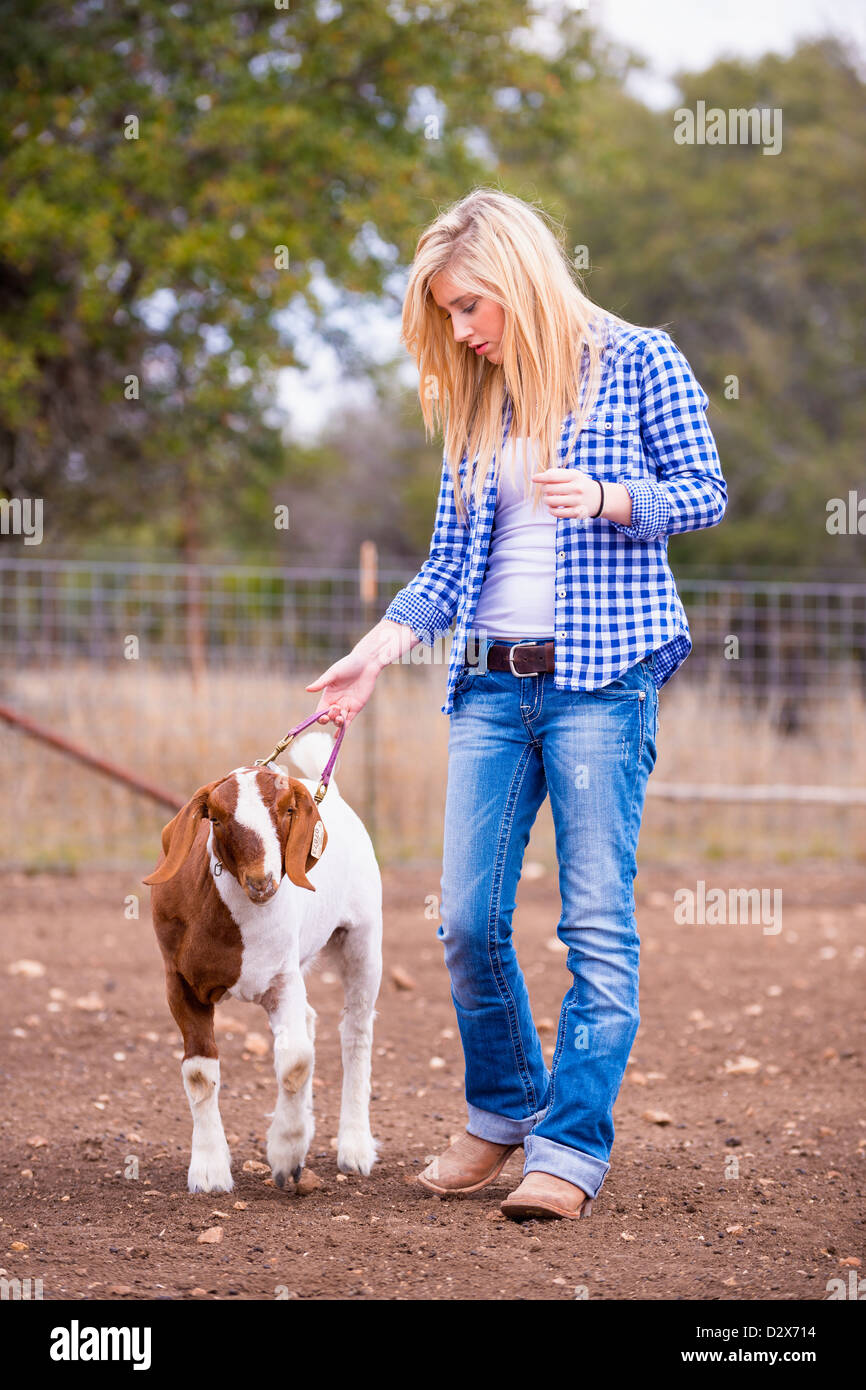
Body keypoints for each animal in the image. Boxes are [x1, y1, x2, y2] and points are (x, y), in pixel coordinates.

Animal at [143, 728, 383, 1195]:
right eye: (217, 818)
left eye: (289, 809)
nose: (262, 882)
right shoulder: (178, 983)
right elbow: (199, 1073)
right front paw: (210, 1171)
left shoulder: (280, 980)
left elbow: (295, 1062)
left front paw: (287, 1156)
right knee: (310, 1021)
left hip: (364, 936)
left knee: (356, 1034)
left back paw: (355, 1148)